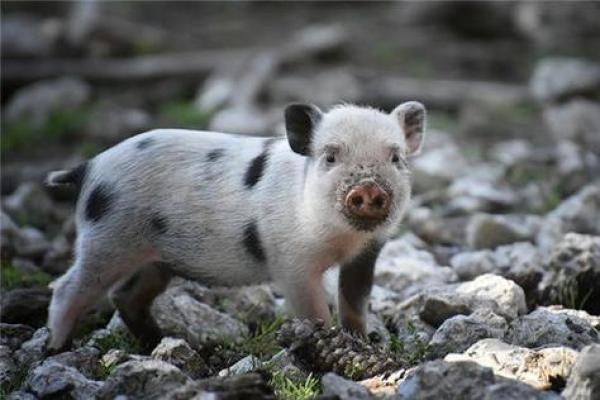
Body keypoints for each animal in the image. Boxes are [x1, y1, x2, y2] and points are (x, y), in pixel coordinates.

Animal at [45, 101, 426, 350]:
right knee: (67, 288)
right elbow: (314, 310)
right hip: (106, 240)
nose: (369, 187)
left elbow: (355, 302)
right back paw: (57, 349)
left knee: (125, 296)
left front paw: (363, 343)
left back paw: (168, 342)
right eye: (330, 156)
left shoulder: (367, 254)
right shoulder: (291, 261)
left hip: (155, 259)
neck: (343, 240)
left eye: (395, 158)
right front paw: (326, 341)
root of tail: (89, 167)